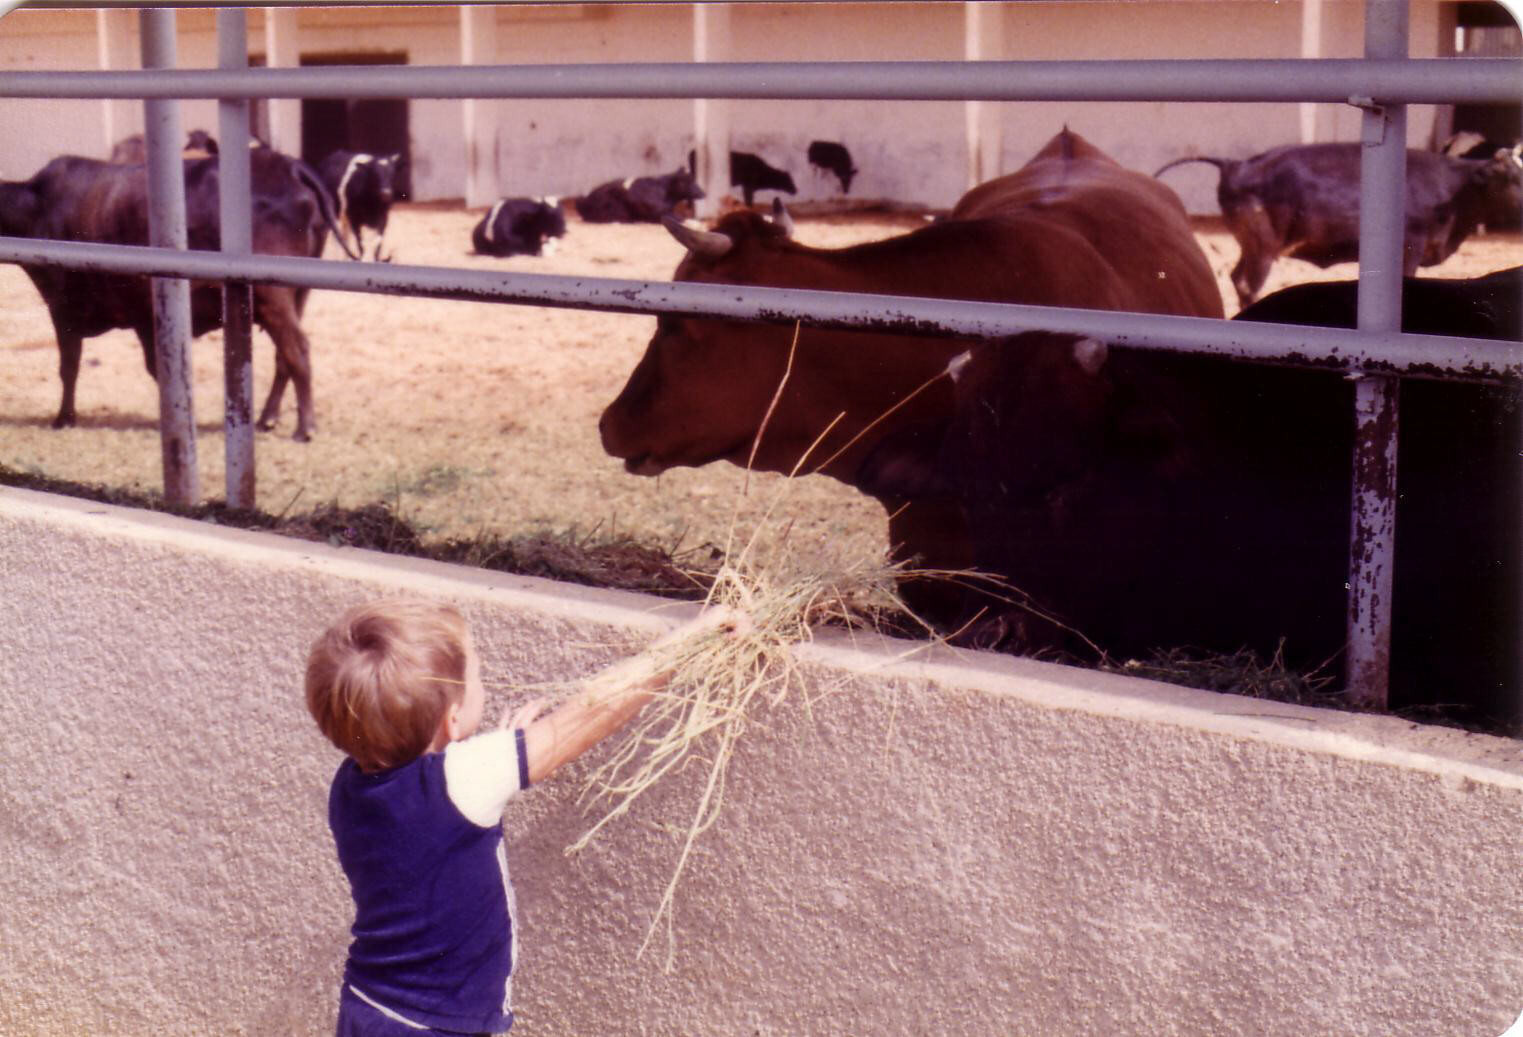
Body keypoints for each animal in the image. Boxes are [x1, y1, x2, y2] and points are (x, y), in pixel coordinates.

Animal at [0, 147, 348, 438]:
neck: (38, 207)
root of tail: (288, 165)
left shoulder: (64, 309)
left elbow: (68, 368)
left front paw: (64, 418)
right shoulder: (143, 319)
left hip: (271, 296)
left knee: (296, 350)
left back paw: (305, 427)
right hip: (295, 295)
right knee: (283, 357)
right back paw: (268, 418)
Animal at [1151, 141, 1523, 306]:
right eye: (1511, 177)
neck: (1454, 189)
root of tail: (1236, 164)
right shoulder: (1409, 250)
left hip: (1252, 246)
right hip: (1263, 247)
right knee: (1247, 283)